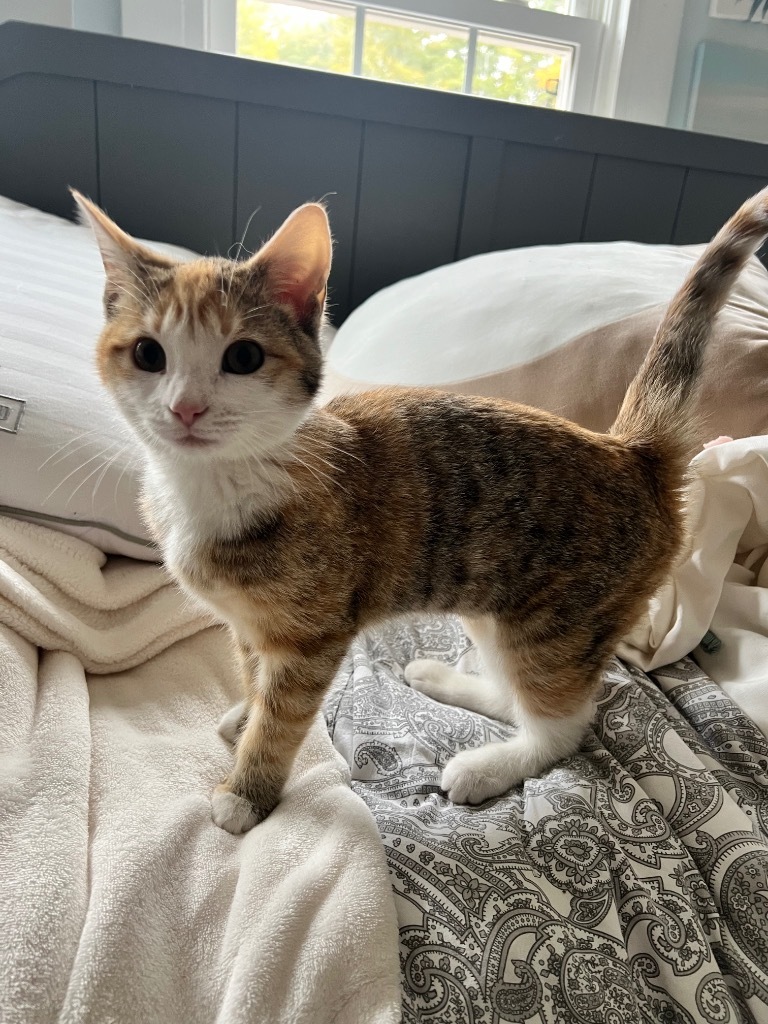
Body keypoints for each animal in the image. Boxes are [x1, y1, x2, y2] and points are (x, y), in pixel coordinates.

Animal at [75, 186, 768, 831]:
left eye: (242, 356)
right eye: (148, 353)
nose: (186, 409)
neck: (216, 483)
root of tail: (632, 451)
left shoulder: (315, 635)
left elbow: (284, 714)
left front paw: (248, 788)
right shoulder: (248, 624)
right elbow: (254, 673)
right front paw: (248, 709)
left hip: (560, 620)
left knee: (565, 722)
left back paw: (489, 766)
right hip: (498, 606)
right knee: (520, 691)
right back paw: (445, 680)